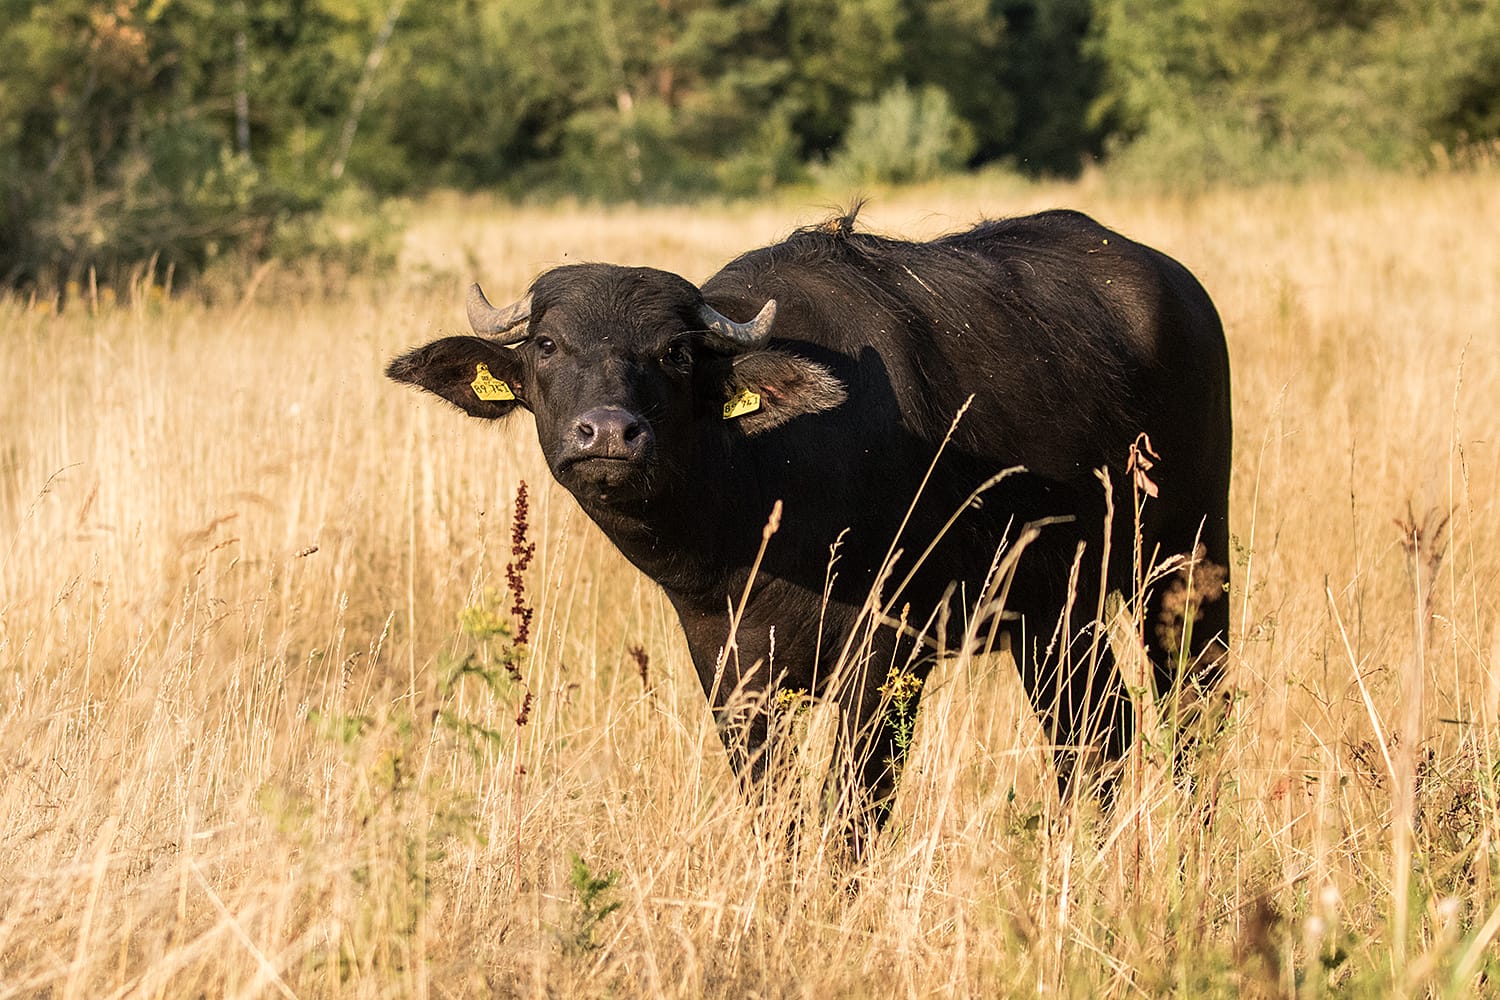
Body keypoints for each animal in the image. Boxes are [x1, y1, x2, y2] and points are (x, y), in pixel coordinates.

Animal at [390, 206, 1230, 851]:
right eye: (546, 345)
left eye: (674, 353)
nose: (608, 434)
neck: (754, 516)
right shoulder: (729, 672)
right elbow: (779, 815)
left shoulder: (888, 657)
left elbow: (851, 816)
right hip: (1053, 611)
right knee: (1098, 735)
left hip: (1186, 562)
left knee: (1195, 712)